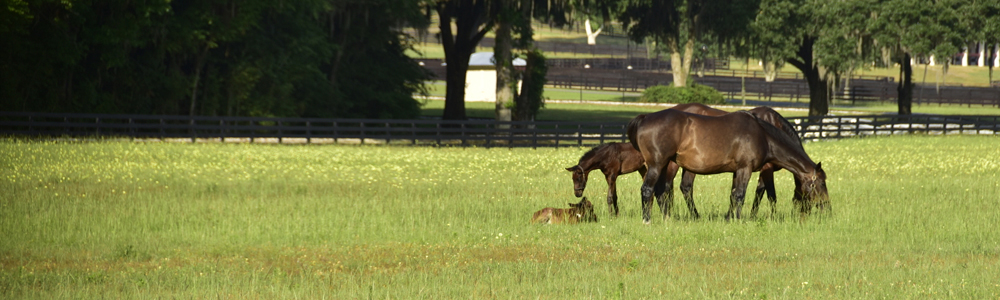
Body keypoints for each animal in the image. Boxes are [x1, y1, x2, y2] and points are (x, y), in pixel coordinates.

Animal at [624, 109, 828, 224]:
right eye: (822, 183)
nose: (827, 208)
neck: (762, 135)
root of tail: (644, 118)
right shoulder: (746, 169)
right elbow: (741, 195)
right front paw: (738, 220)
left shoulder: (737, 171)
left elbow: (733, 194)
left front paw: (729, 218)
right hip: (657, 165)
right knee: (648, 189)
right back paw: (647, 220)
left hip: (665, 164)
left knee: (660, 191)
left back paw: (667, 219)